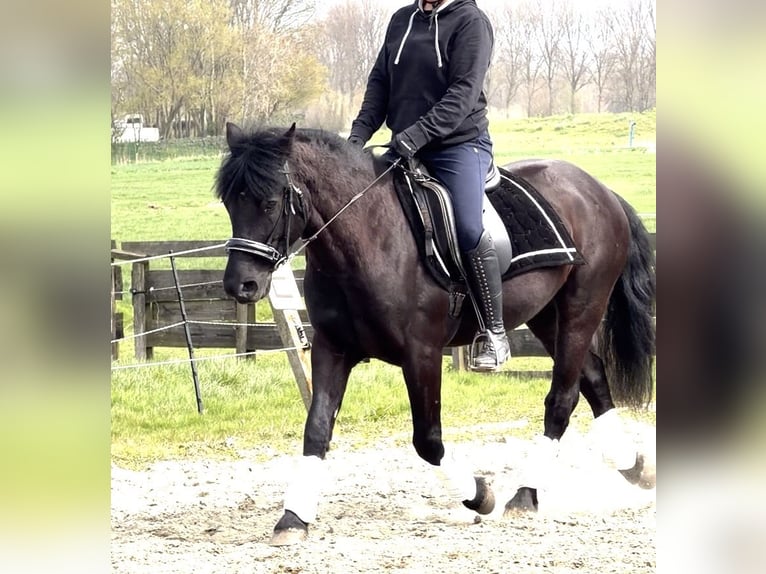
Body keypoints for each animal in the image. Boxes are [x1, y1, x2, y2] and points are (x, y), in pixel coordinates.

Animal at [217, 123, 656, 546]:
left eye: (270, 202)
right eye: (229, 203)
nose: (241, 285)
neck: (369, 236)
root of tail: (598, 190)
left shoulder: (422, 354)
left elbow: (427, 440)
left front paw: (481, 495)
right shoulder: (332, 349)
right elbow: (317, 429)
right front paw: (293, 518)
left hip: (582, 309)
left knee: (562, 399)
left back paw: (525, 495)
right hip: (547, 316)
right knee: (593, 377)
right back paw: (633, 466)